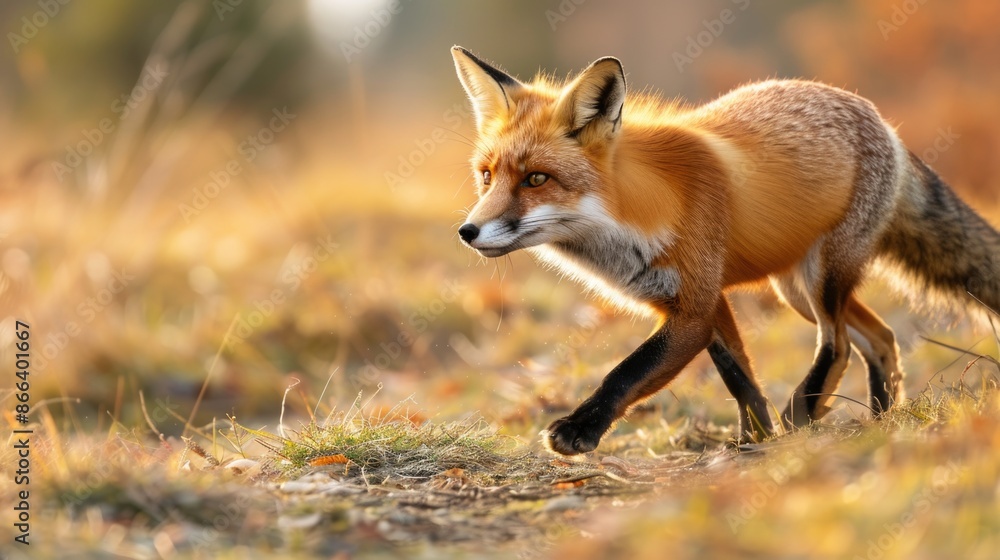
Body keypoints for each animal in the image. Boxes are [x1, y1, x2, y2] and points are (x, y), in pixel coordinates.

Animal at [450, 46, 1000, 456]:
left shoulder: (693, 306)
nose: (467, 231)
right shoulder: (704, 300)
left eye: (536, 179)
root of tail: (881, 119)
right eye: (487, 176)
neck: (634, 217)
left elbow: (627, 371)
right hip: (795, 289)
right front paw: (754, 437)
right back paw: (882, 421)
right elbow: (738, 375)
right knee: (880, 338)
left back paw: (808, 410)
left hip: (821, 279)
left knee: (839, 342)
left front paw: (580, 430)